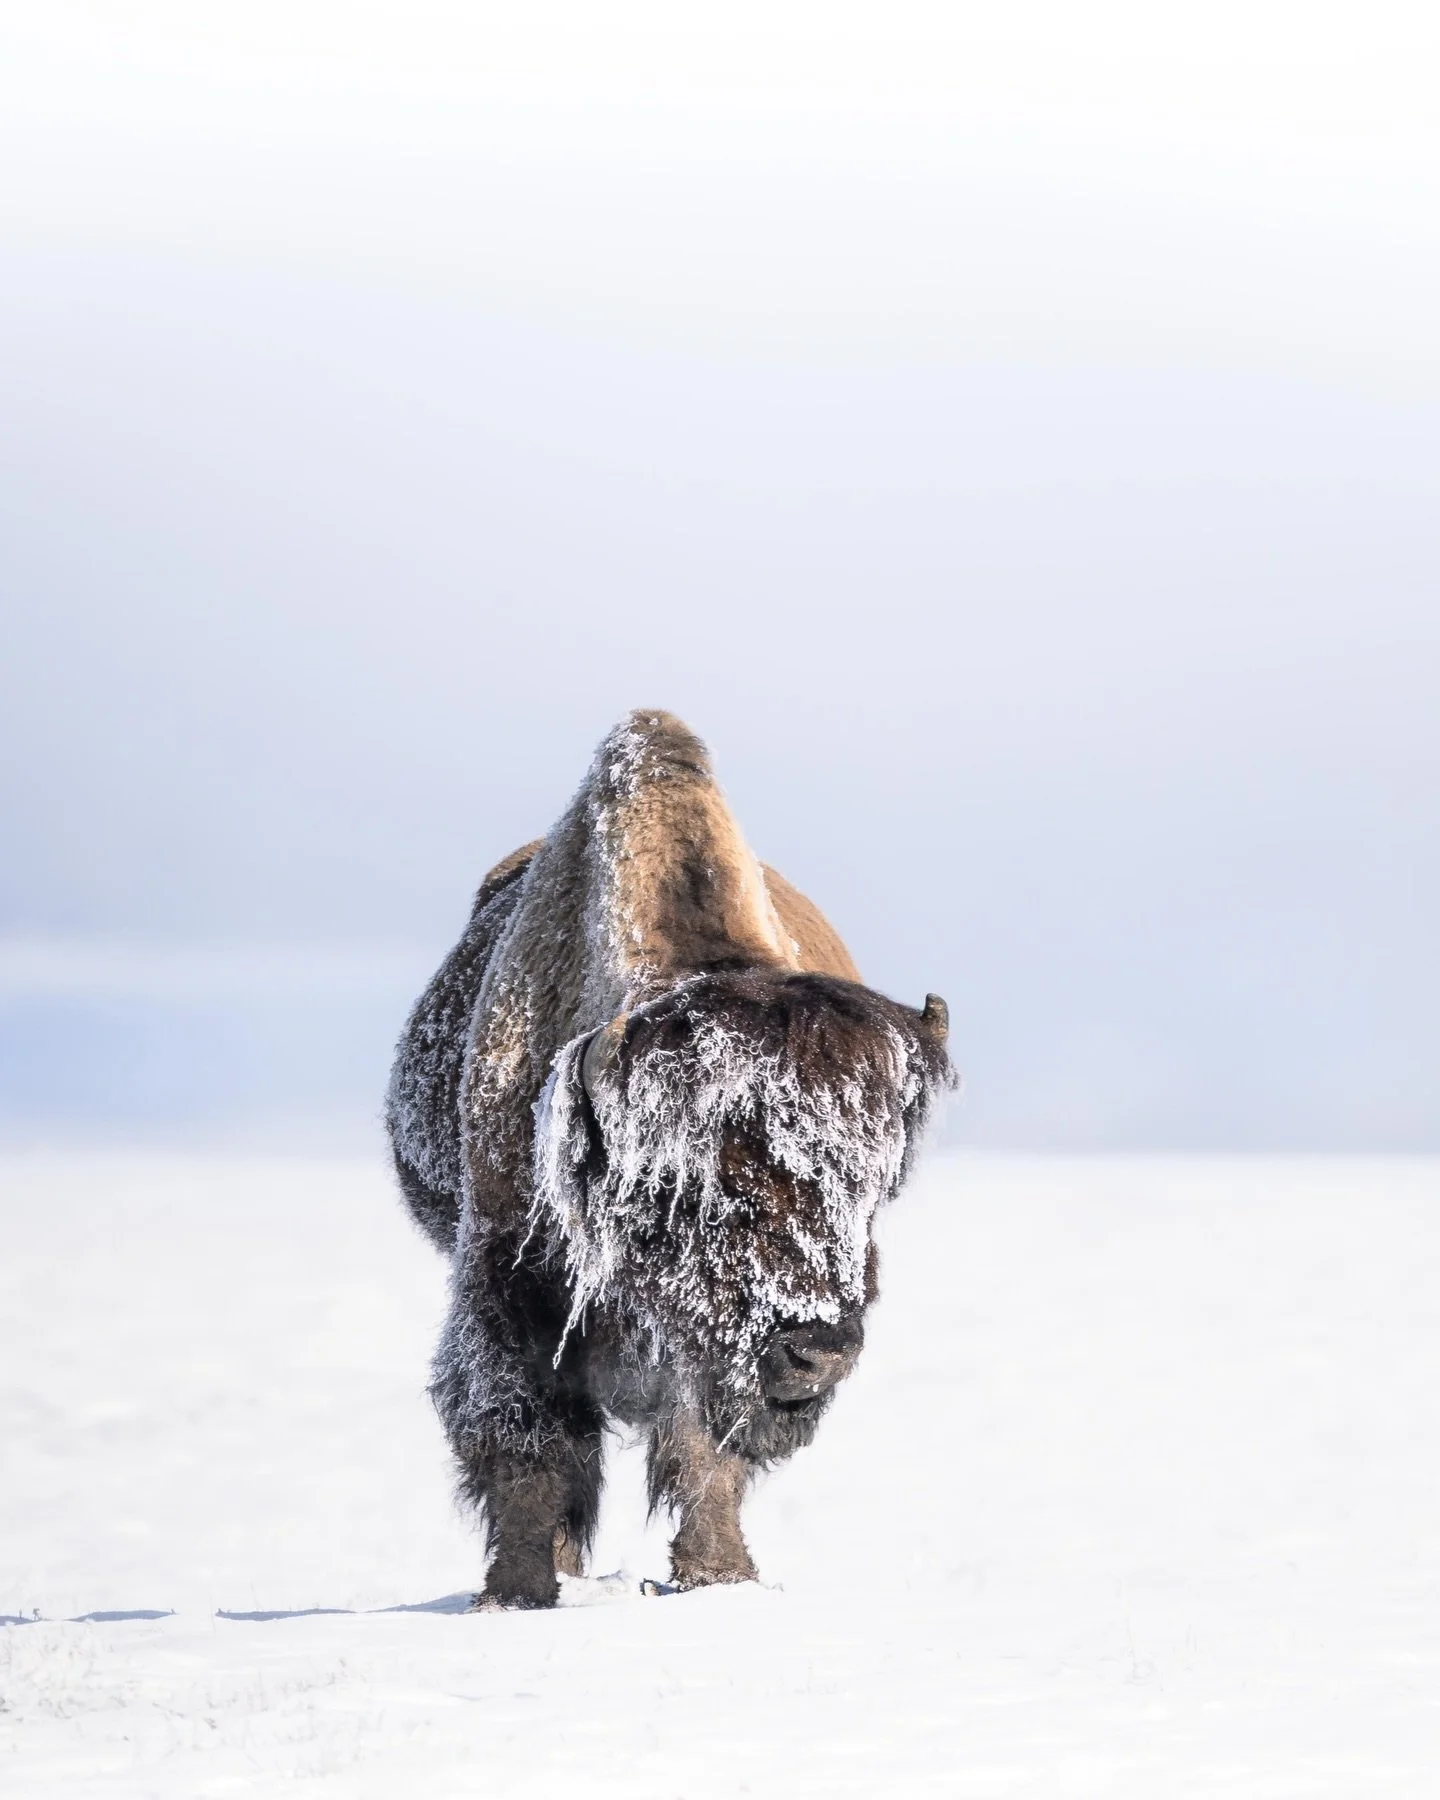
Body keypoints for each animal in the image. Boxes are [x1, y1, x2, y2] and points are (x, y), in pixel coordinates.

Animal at [387, 710, 953, 1608]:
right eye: (708, 1189)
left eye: (872, 1191)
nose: (818, 1351)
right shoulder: (506, 1277)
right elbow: (526, 1441)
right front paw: (513, 1593)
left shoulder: (701, 1351)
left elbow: (702, 1450)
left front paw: (719, 1577)